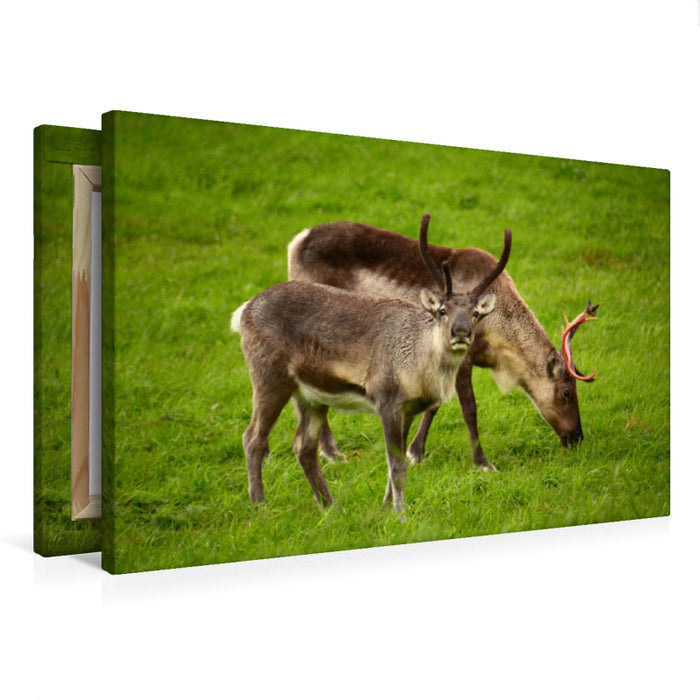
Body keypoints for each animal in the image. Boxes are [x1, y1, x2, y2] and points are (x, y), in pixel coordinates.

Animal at [231, 214, 510, 514]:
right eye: (442, 310)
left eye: (476, 313)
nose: (460, 332)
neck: (418, 366)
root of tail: (243, 312)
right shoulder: (387, 399)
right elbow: (397, 467)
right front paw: (400, 514)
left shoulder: (408, 410)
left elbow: (393, 466)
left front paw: (385, 509)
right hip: (269, 377)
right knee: (253, 438)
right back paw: (260, 506)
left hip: (310, 396)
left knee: (303, 446)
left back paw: (331, 507)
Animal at [288, 215, 599, 471]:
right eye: (567, 392)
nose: (578, 437)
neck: (497, 342)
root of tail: (295, 242)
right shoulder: (464, 353)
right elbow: (468, 408)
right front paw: (482, 463)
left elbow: (435, 403)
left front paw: (415, 452)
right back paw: (331, 452)